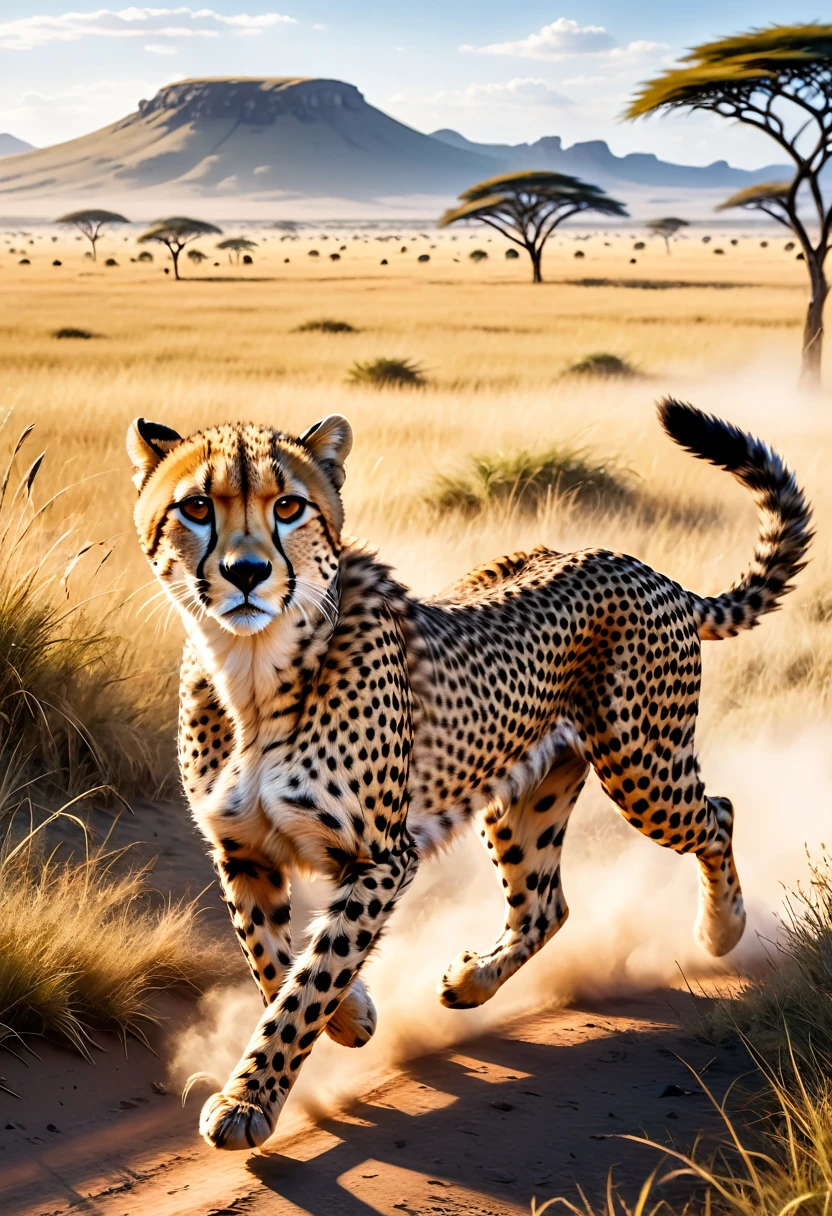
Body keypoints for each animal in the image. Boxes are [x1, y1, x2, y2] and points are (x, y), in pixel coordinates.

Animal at [126, 396, 807, 1147]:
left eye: (288, 506)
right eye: (195, 507)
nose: (246, 572)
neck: (252, 666)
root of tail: (641, 566)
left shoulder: (382, 857)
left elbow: (311, 979)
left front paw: (249, 1099)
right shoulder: (241, 849)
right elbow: (272, 959)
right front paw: (353, 1016)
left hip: (642, 770)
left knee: (718, 813)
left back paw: (723, 931)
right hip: (525, 801)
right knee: (546, 903)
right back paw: (475, 981)